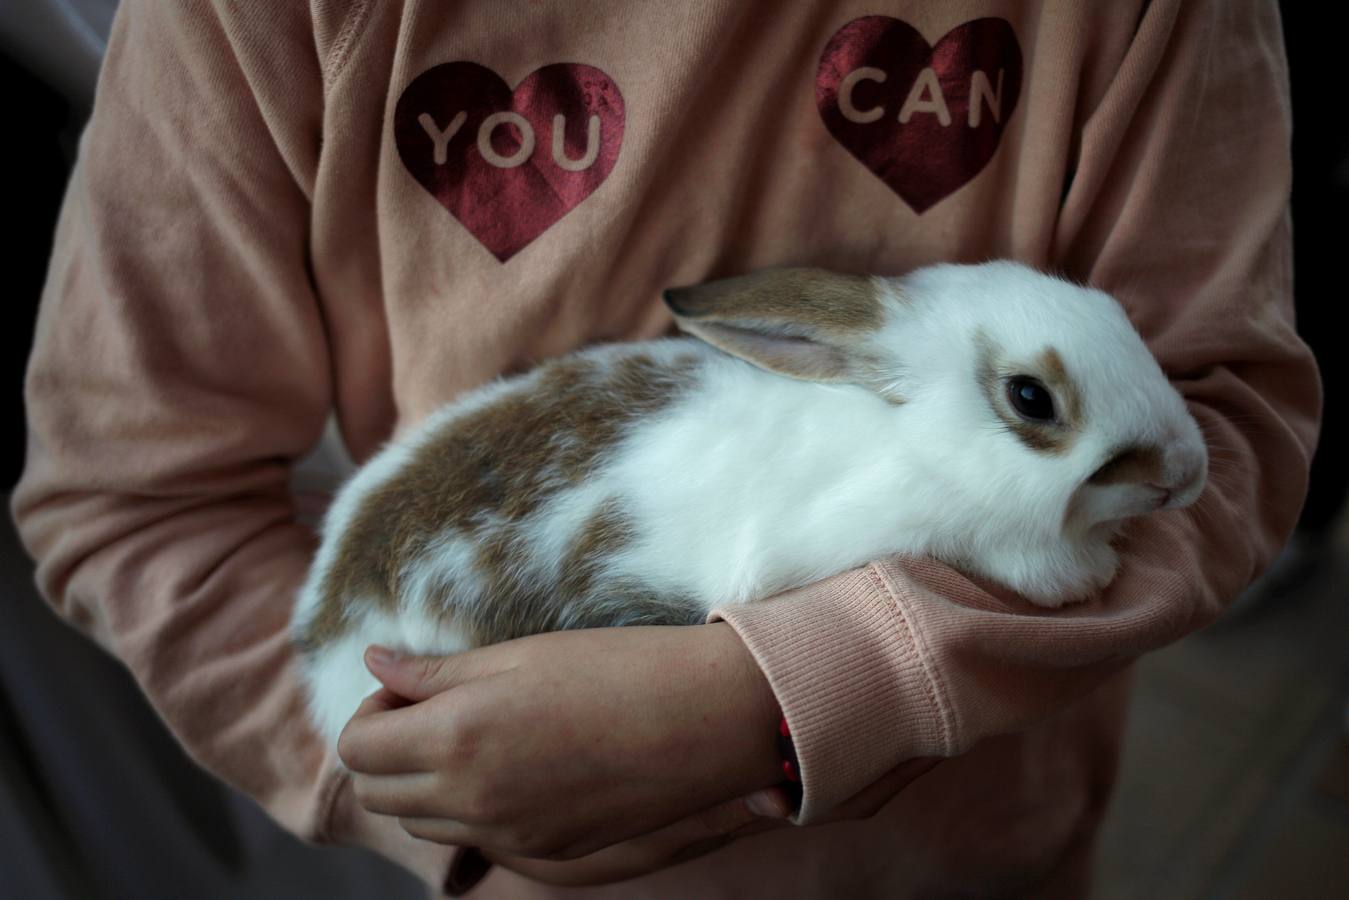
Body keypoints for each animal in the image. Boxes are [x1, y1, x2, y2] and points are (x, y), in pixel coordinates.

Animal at [290, 260, 1208, 744]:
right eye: (1029, 398)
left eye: (1114, 310)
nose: (1188, 473)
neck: (909, 439)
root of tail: (330, 614)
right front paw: (1083, 572)